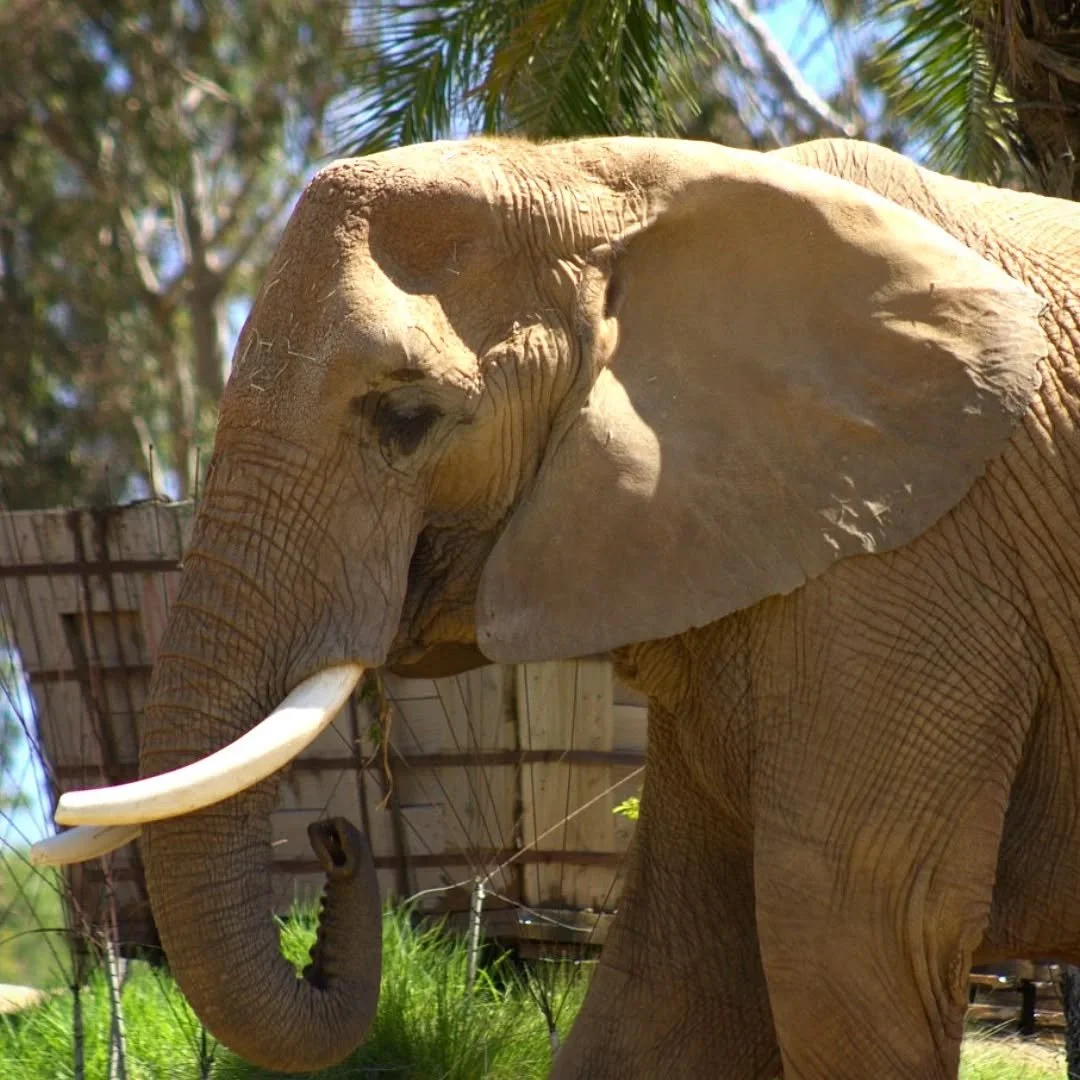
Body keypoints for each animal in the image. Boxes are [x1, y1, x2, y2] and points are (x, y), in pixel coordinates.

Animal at [37, 134, 1080, 1078]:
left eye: (406, 418)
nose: (335, 838)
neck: (609, 182)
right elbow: (673, 984)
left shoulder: (917, 560)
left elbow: (856, 938)